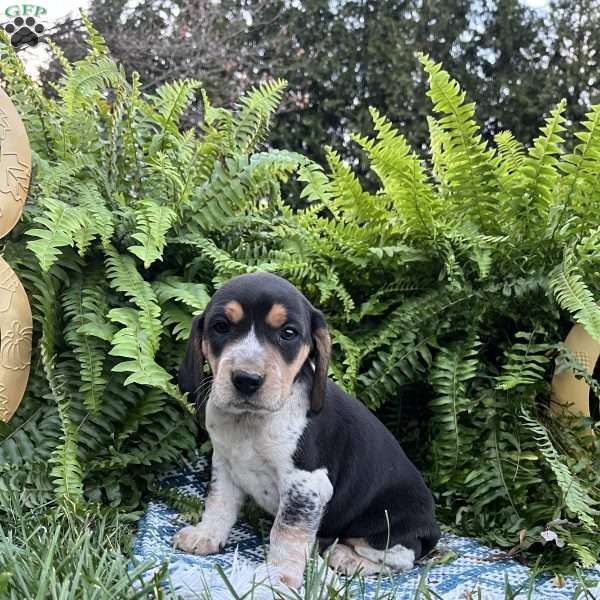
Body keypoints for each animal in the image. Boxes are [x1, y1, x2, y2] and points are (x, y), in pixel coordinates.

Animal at [173, 272, 440, 584]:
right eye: (221, 327)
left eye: (288, 333)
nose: (247, 380)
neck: (251, 422)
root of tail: (432, 528)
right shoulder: (225, 463)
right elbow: (219, 503)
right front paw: (206, 535)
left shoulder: (306, 484)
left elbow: (286, 533)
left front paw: (277, 576)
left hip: (384, 526)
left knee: (400, 557)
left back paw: (348, 558)